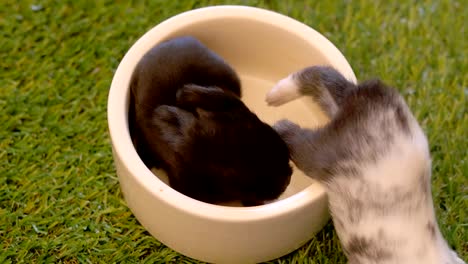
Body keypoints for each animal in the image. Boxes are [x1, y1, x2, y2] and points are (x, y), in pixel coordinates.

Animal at [266, 66, 466, 264]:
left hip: (333, 108)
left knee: (320, 76)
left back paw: (275, 95)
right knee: (293, 130)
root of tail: (367, 96)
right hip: (319, 154)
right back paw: (276, 113)